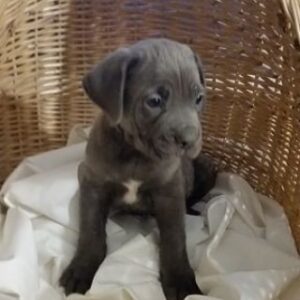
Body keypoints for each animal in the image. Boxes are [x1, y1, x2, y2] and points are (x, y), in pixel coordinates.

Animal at [59, 38, 217, 300]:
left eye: (199, 98)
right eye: (154, 101)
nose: (189, 139)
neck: (135, 154)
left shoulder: (170, 191)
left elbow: (175, 239)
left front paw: (180, 280)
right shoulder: (92, 182)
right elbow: (91, 230)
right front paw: (81, 268)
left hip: (206, 168)